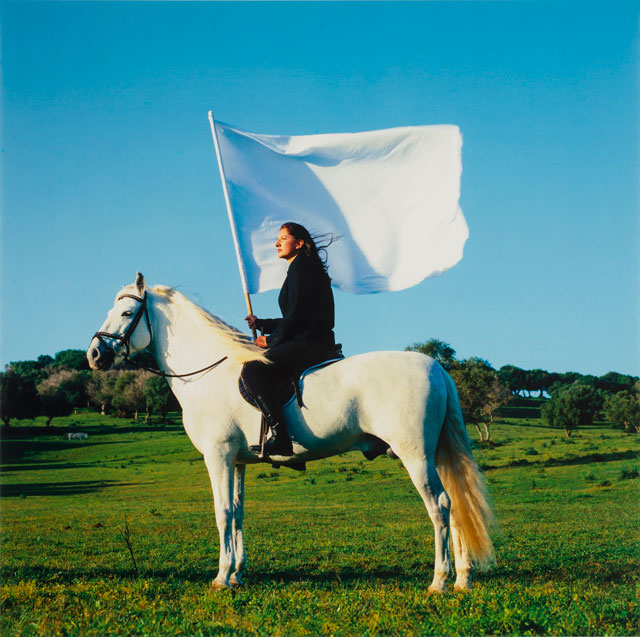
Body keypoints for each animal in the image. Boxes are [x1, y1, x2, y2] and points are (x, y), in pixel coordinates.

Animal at [86, 272, 496, 592]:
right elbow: (237, 513)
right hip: (434, 455)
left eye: (126, 313)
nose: (94, 355)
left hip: (416, 456)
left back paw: (439, 580)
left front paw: (221, 577)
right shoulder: (238, 461)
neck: (209, 372)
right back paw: (462, 579)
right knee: (455, 506)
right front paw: (237, 574)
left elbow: (222, 512)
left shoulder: (218, 456)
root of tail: (436, 366)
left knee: (439, 505)